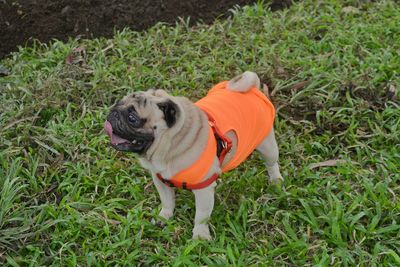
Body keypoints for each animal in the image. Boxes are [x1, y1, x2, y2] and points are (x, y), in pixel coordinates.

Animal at [104, 71, 282, 241]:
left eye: (132, 118)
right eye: (118, 103)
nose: (113, 112)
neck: (171, 144)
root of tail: (253, 89)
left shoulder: (203, 190)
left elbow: (201, 216)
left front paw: (200, 235)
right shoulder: (160, 180)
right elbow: (167, 201)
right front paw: (164, 217)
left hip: (267, 145)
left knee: (272, 163)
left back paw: (276, 181)